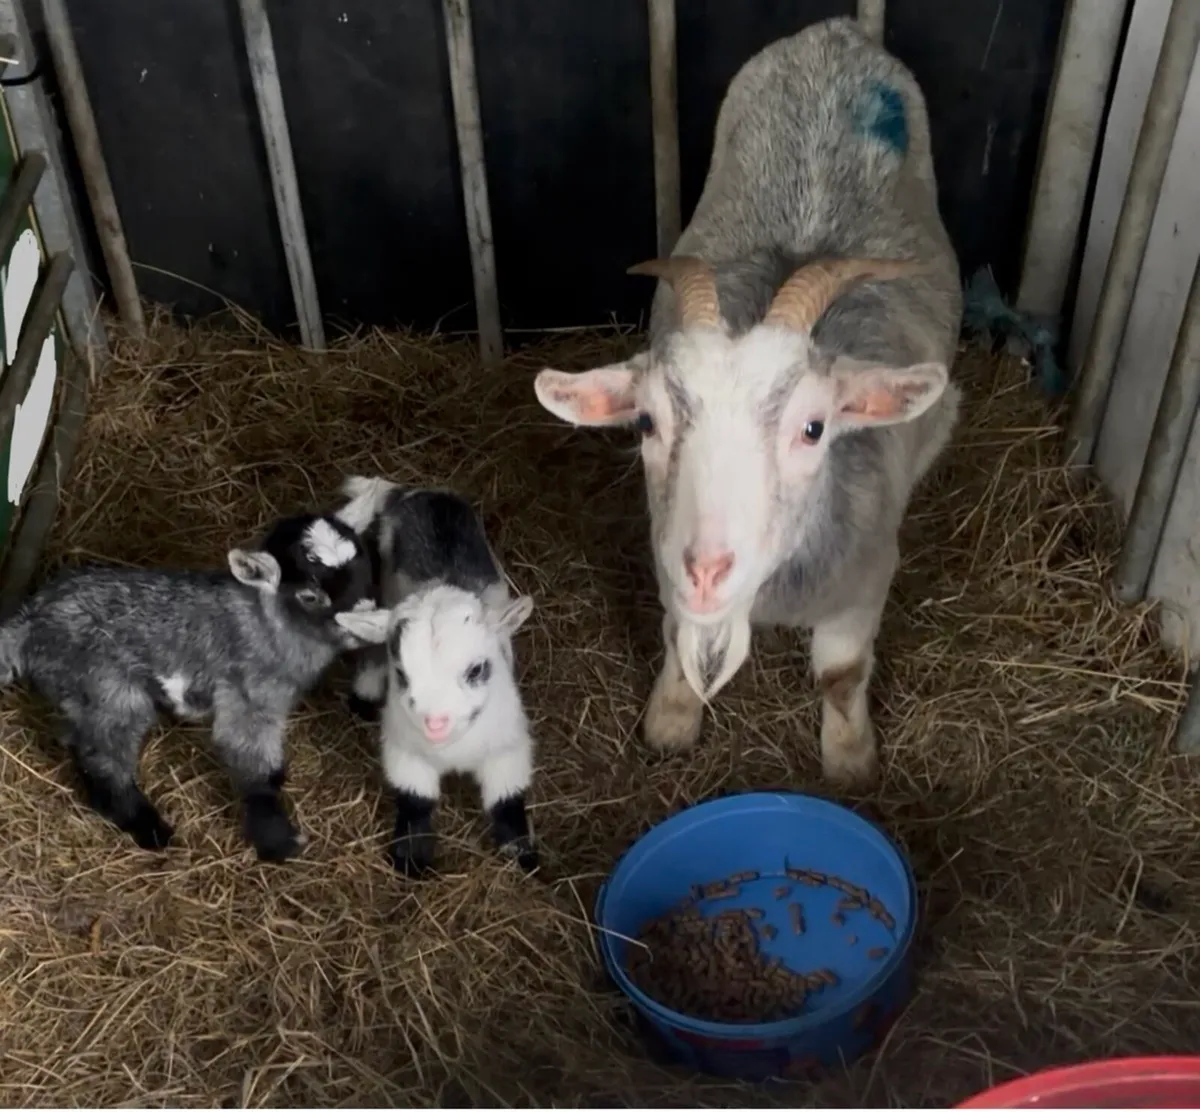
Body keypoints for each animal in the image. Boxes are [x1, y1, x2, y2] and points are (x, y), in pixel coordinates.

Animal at [0, 512, 376, 859]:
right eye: (310, 596)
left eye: (365, 570)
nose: (369, 618)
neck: (264, 620)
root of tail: (30, 621)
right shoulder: (249, 696)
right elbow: (252, 763)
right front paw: (278, 841)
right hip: (107, 689)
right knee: (102, 760)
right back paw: (151, 829)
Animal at [333, 476, 538, 876]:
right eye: (402, 673)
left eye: (476, 669)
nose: (435, 723)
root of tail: (418, 492)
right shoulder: (405, 750)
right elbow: (415, 800)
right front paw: (411, 860)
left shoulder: (508, 747)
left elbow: (507, 800)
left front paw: (524, 856)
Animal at [531, 16, 962, 786]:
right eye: (647, 421)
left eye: (814, 428)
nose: (707, 570)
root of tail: (836, 31)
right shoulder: (666, 554)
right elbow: (678, 637)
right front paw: (671, 721)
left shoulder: (865, 579)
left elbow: (841, 674)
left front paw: (850, 760)